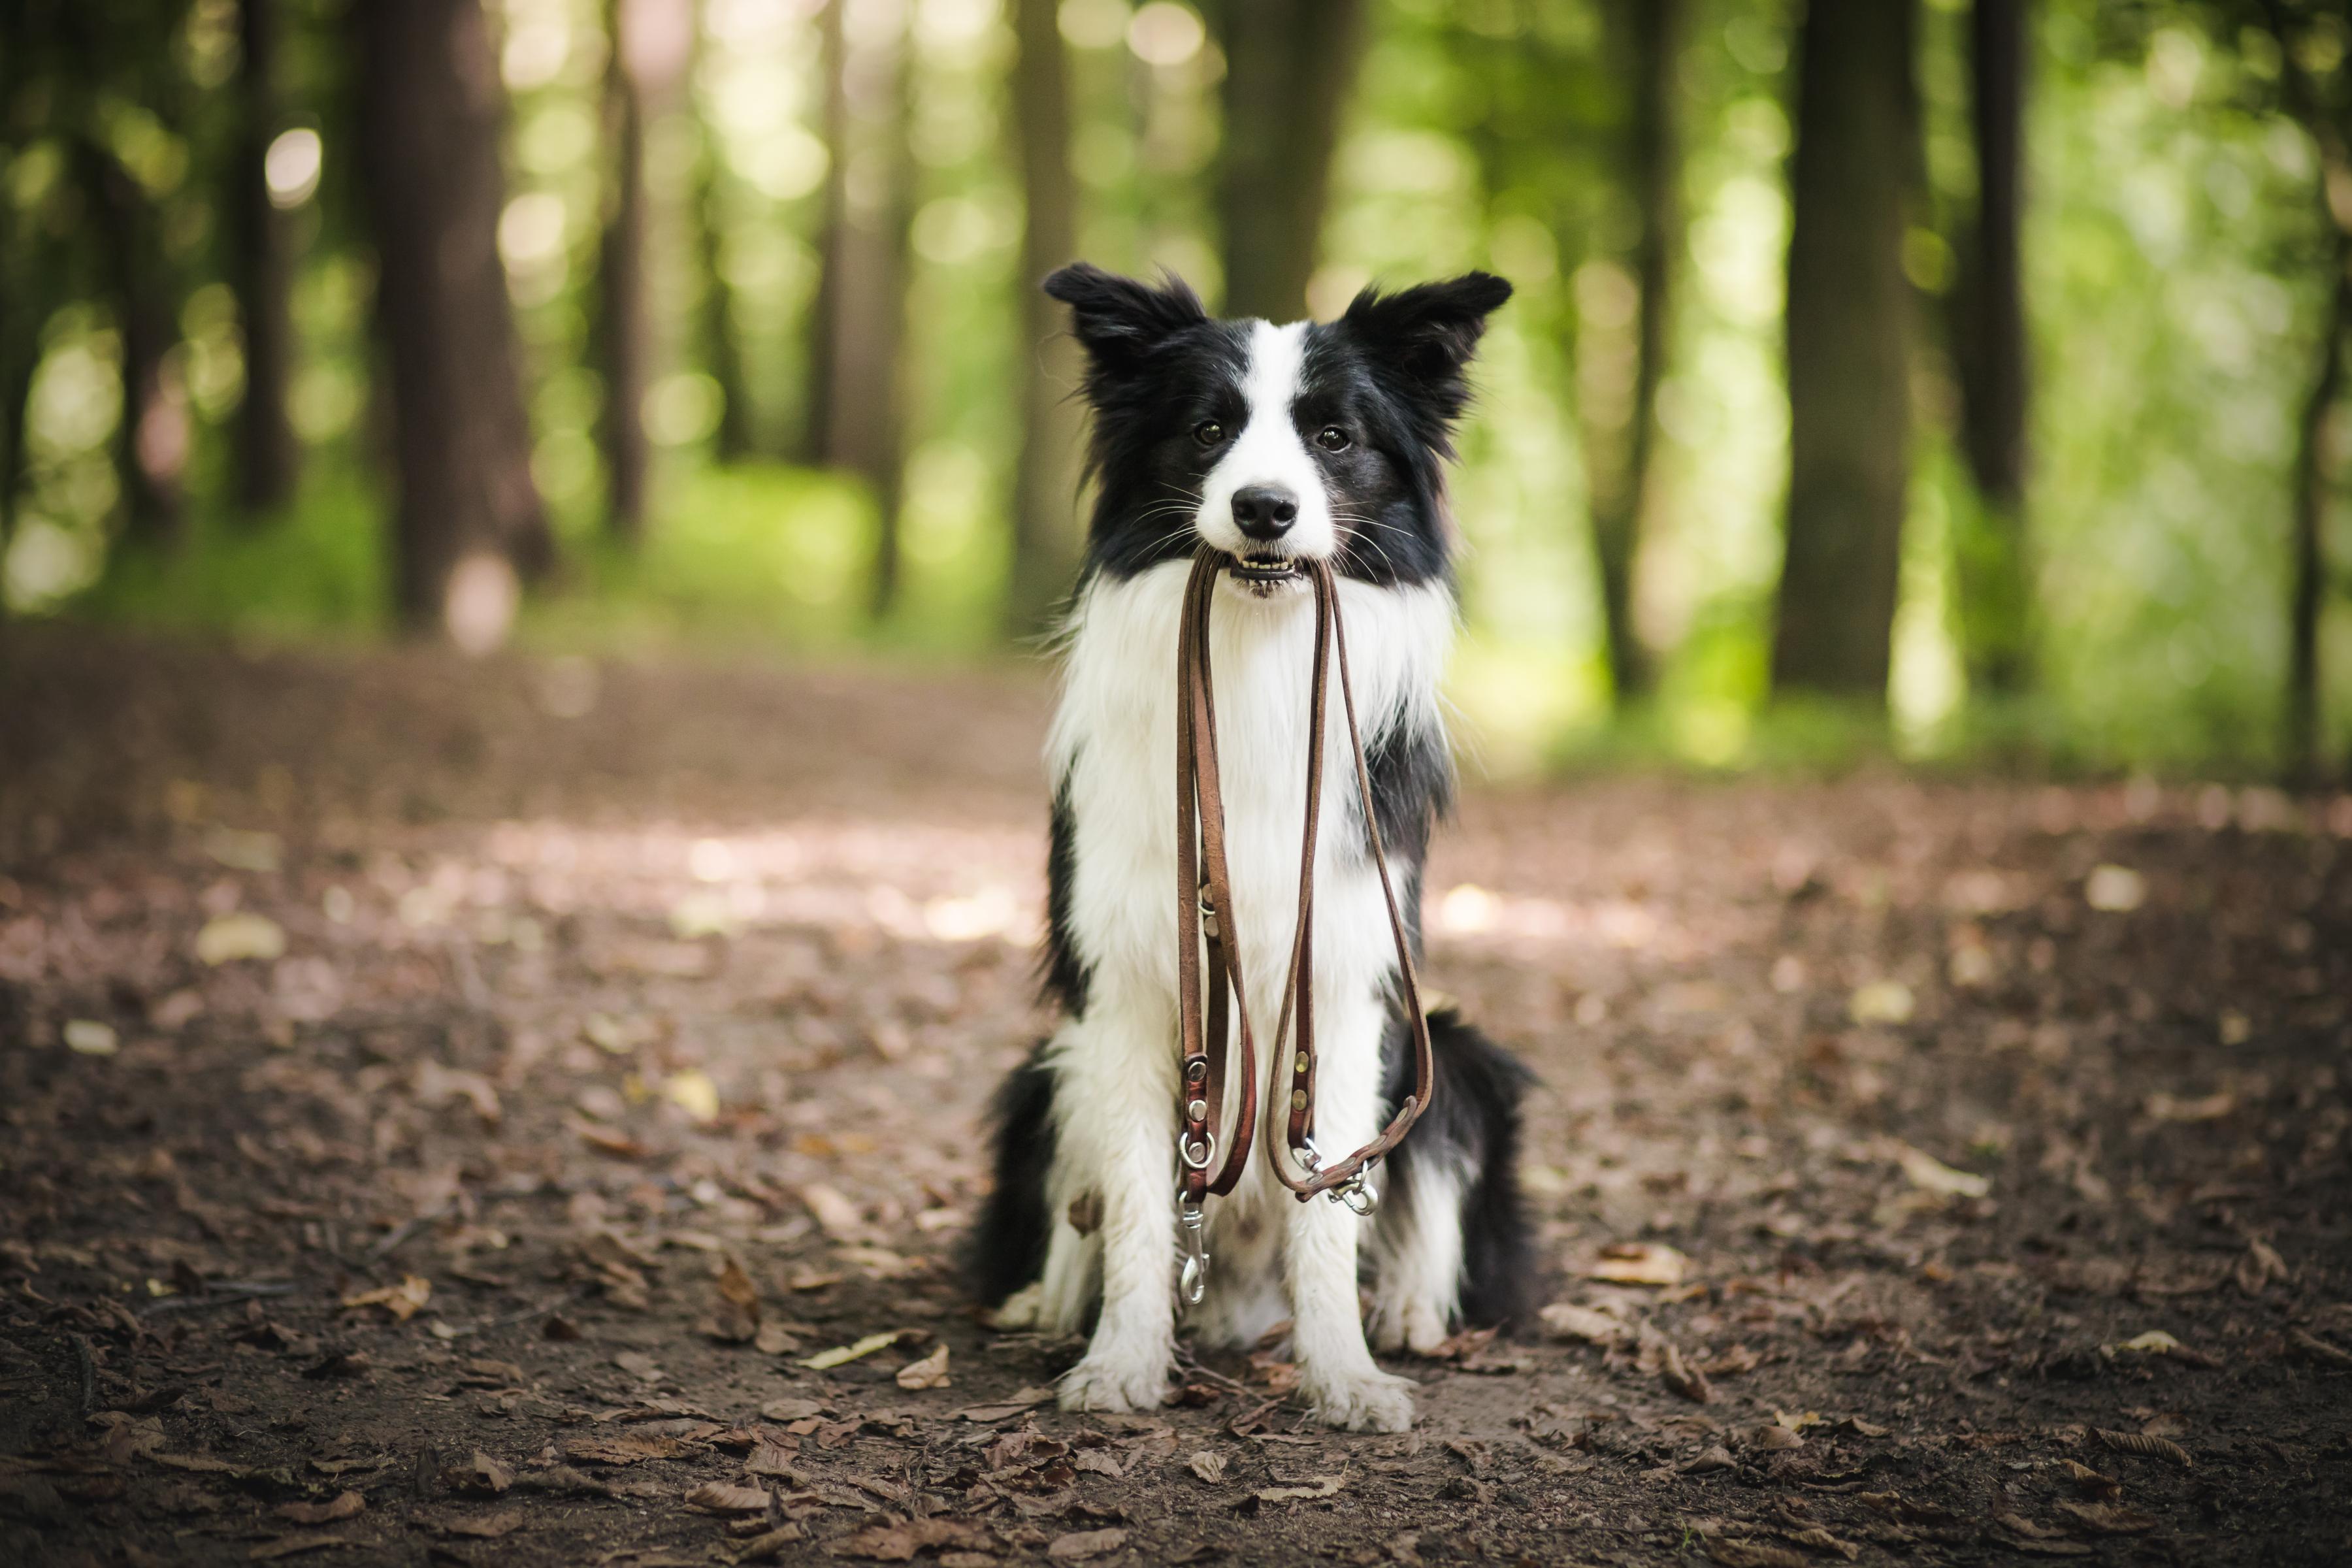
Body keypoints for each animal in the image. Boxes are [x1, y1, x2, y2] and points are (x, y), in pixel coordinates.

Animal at [969, 263, 1533, 1429]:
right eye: (1209, 428)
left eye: (1334, 436)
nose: (1264, 508)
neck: (1254, 657)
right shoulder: (1131, 986)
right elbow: (1141, 1204)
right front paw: (1120, 1363)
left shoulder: (1350, 980)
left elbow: (1327, 1207)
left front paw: (1347, 1376)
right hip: (1046, 1069)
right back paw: (1048, 1303)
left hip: (1454, 1054)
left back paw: (1410, 1316)